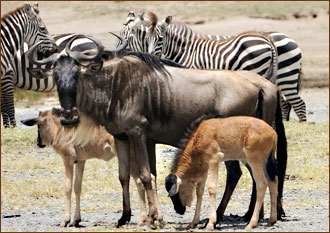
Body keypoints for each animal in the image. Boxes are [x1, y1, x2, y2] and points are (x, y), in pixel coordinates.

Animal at [121, 12, 306, 122]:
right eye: (147, 39)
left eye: (159, 39)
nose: (151, 56)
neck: (186, 51)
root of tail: (268, 40)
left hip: (276, 74)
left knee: (298, 104)